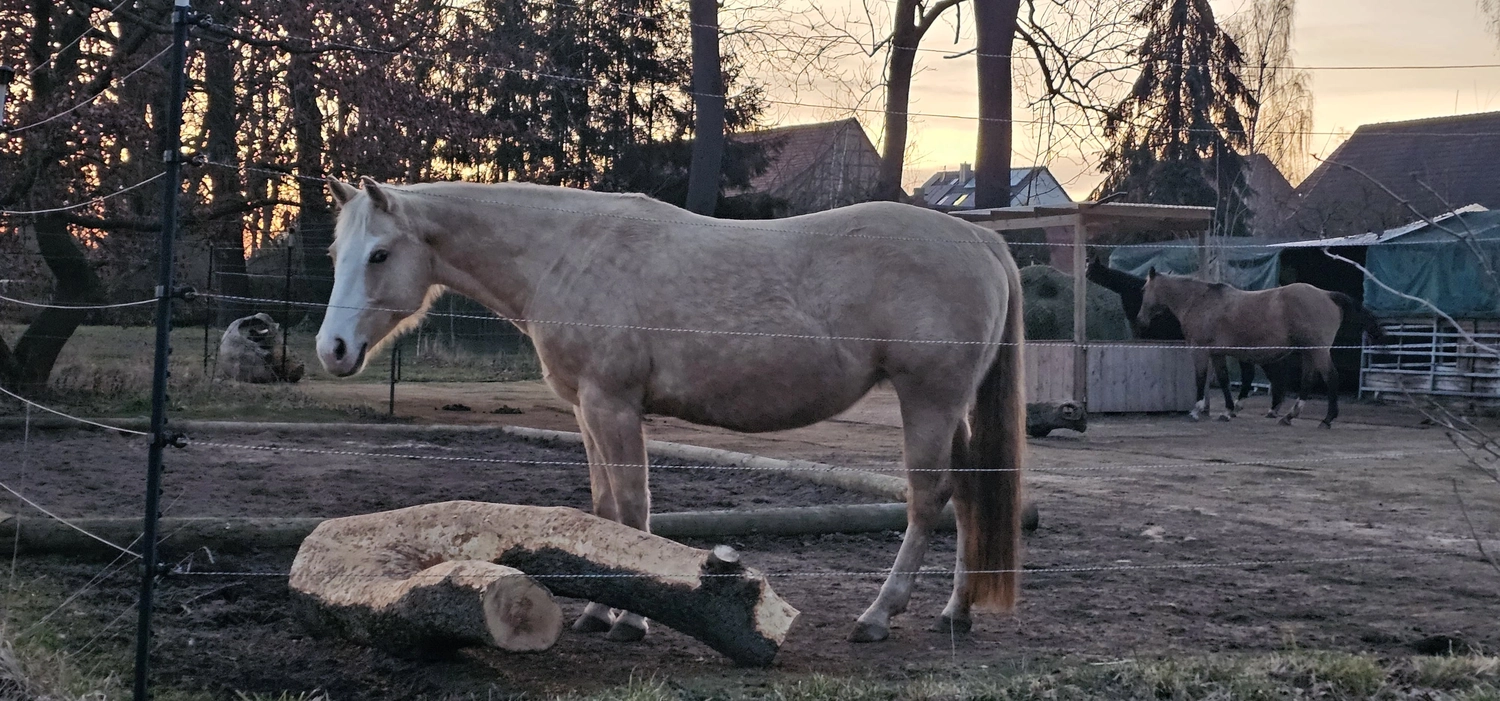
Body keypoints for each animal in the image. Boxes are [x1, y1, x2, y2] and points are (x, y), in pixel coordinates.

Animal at [313, 176, 1027, 644]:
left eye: (379, 254)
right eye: (336, 255)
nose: (333, 349)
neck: (566, 251)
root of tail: (980, 240)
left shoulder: (613, 404)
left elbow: (633, 510)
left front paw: (631, 619)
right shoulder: (585, 410)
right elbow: (603, 510)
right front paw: (598, 612)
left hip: (927, 399)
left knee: (927, 499)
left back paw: (879, 615)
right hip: (950, 408)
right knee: (970, 493)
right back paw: (955, 612)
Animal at [1137, 269, 1388, 428]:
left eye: (1143, 289)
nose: (1140, 320)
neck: (1201, 301)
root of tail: (1327, 294)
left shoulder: (1201, 351)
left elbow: (1200, 380)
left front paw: (1196, 411)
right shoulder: (1218, 353)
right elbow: (1225, 381)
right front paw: (1227, 412)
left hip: (1317, 351)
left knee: (1330, 377)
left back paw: (1326, 419)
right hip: (1309, 352)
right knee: (1307, 380)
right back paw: (1289, 416)